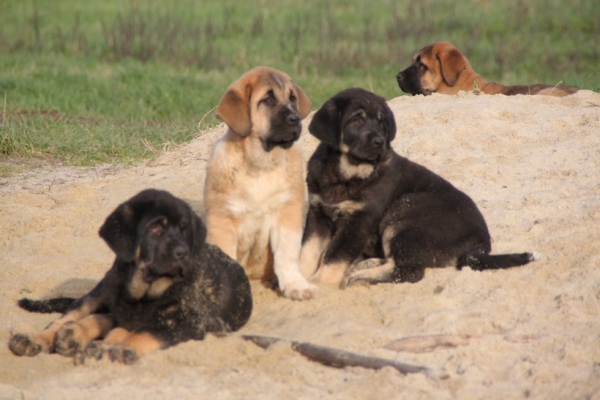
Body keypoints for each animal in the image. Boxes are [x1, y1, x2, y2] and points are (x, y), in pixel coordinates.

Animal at [9, 189, 253, 364]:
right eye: (155, 228)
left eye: (185, 230)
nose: (183, 253)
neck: (145, 290)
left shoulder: (192, 320)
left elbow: (145, 333)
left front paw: (119, 348)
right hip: (103, 289)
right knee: (72, 315)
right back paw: (41, 338)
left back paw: (83, 338)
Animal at [204, 67, 322, 302]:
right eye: (268, 100)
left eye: (292, 98)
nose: (296, 119)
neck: (261, 166)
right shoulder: (223, 220)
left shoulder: (287, 213)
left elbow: (287, 255)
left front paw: (296, 286)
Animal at [300, 87, 540, 288]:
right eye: (356, 119)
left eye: (382, 123)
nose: (380, 142)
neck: (345, 172)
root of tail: (482, 241)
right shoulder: (318, 213)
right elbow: (308, 251)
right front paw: (299, 277)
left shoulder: (358, 220)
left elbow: (334, 256)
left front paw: (318, 285)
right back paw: (366, 264)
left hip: (405, 214)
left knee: (409, 270)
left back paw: (359, 276)